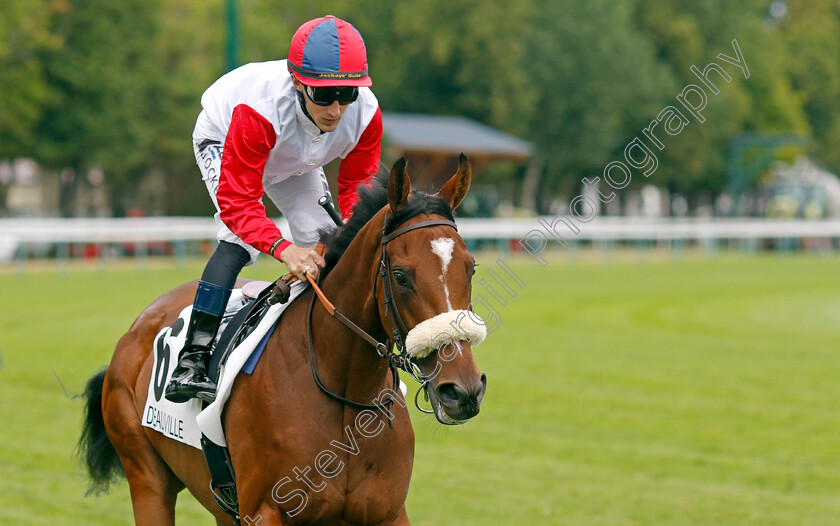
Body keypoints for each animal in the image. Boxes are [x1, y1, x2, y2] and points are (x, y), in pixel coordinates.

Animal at [78, 157, 488, 526]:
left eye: (470, 267)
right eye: (401, 276)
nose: (462, 390)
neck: (344, 395)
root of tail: (136, 328)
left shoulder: (388, 513)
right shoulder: (265, 511)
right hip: (147, 477)